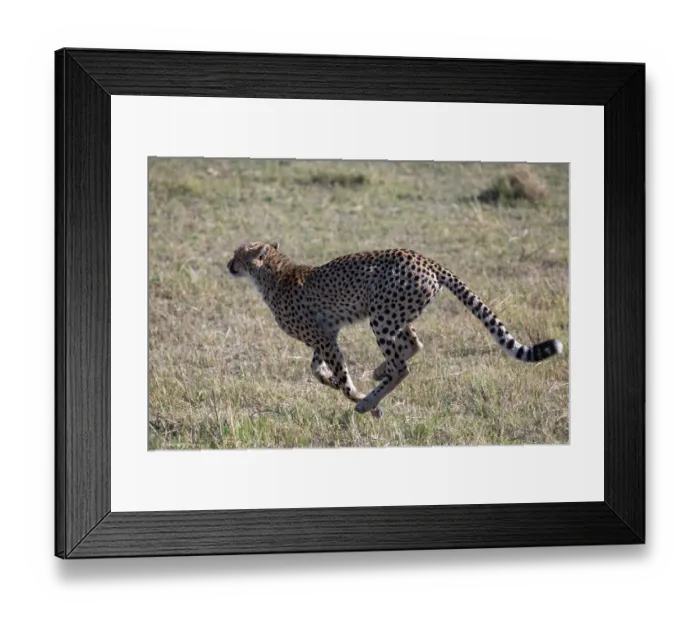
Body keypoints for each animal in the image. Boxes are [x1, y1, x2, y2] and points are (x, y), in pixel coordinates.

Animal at [227, 241, 563, 419]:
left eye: (238, 254)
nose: (228, 264)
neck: (274, 273)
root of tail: (424, 258)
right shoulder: (326, 336)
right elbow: (316, 369)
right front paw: (331, 382)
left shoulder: (324, 338)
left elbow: (342, 377)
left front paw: (358, 398)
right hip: (394, 314)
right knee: (414, 343)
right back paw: (380, 372)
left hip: (382, 316)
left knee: (403, 365)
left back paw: (369, 401)